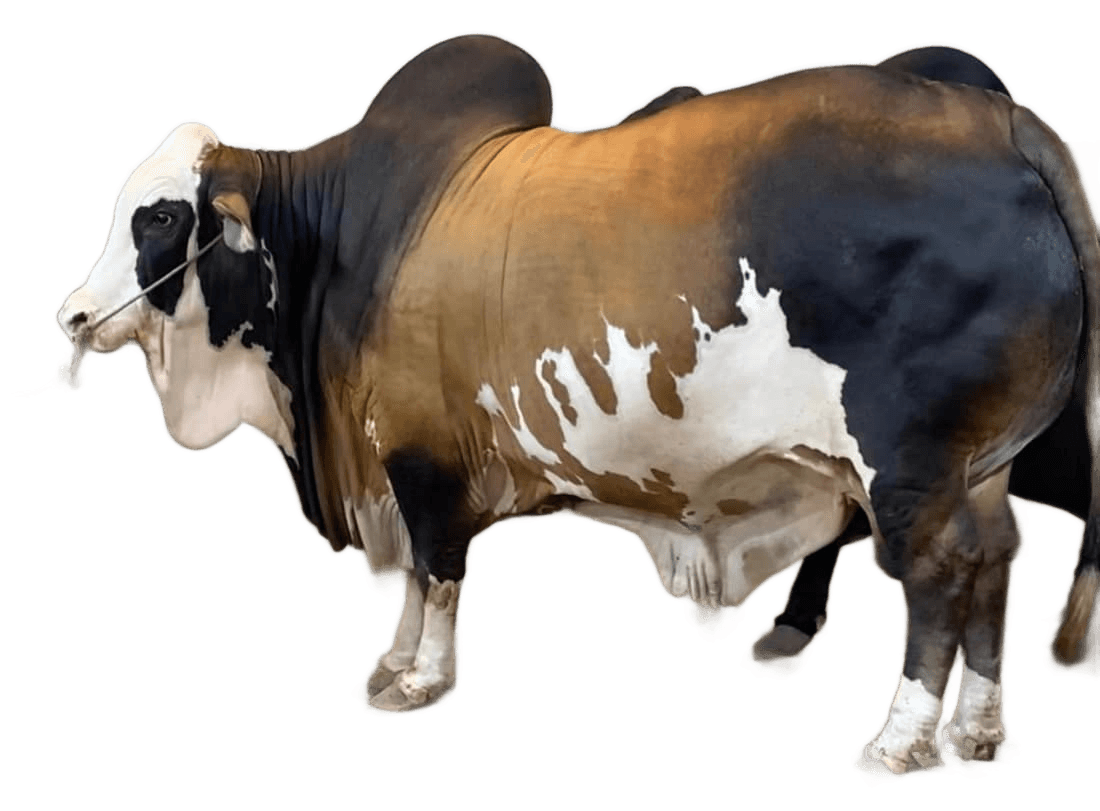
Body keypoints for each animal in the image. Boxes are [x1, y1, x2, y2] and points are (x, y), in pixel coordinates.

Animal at [54, 33, 1100, 777]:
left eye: (160, 215)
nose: (71, 315)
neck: (348, 240)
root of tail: (1003, 122)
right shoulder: (390, 466)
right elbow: (413, 586)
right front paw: (393, 663)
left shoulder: (422, 463)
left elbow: (437, 573)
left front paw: (421, 678)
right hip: (980, 466)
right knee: (996, 562)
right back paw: (975, 731)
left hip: (909, 468)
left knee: (938, 574)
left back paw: (902, 738)